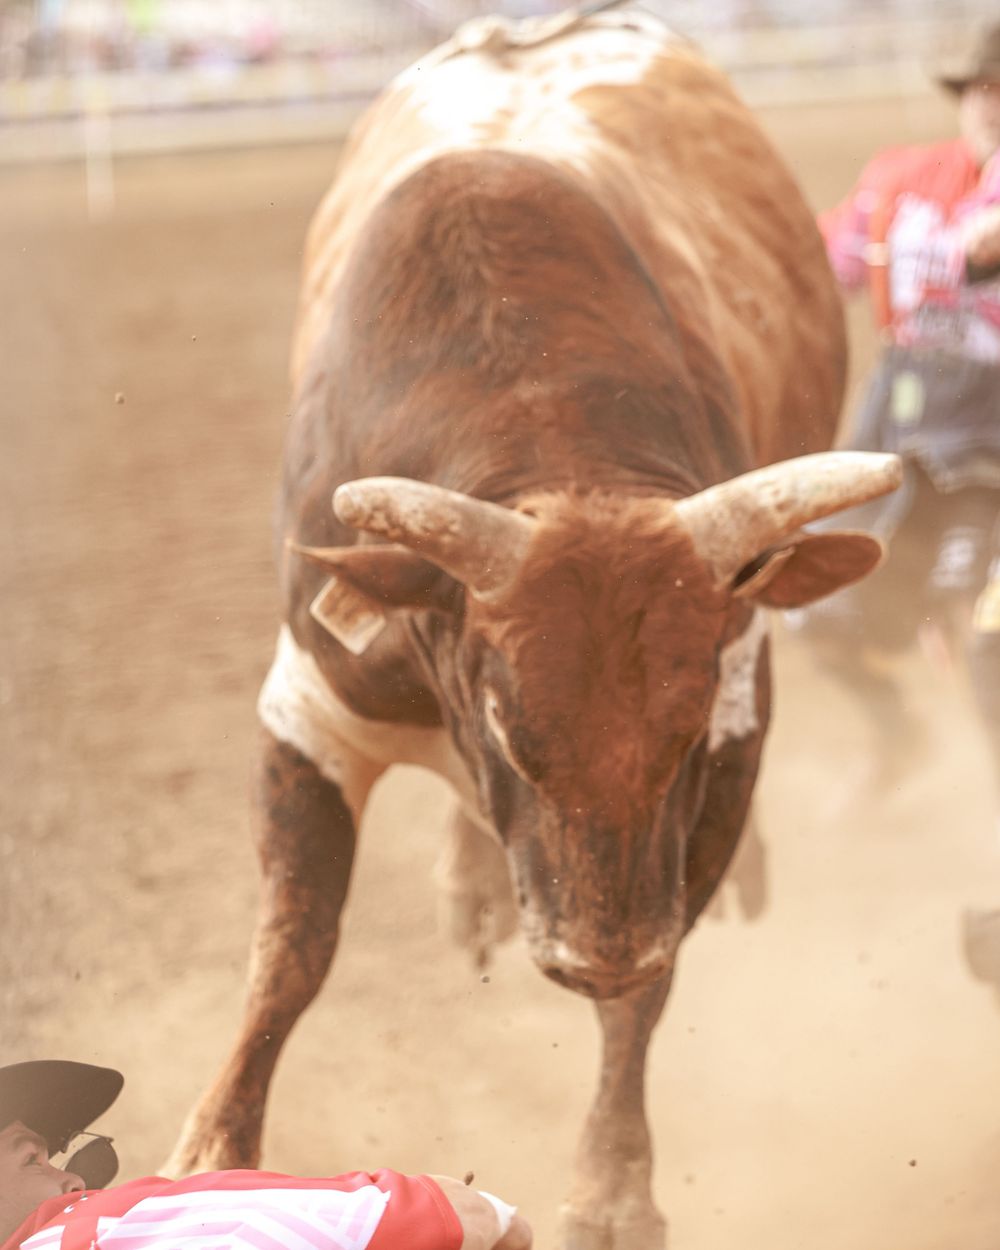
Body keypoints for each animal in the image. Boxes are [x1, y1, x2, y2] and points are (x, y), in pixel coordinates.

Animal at [164, 7, 901, 1248]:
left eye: (684, 733)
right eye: (512, 730)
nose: (591, 959)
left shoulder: (732, 722)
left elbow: (652, 979)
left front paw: (612, 1187)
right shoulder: (309, 707)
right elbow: (294, 945)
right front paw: (211, 1151)